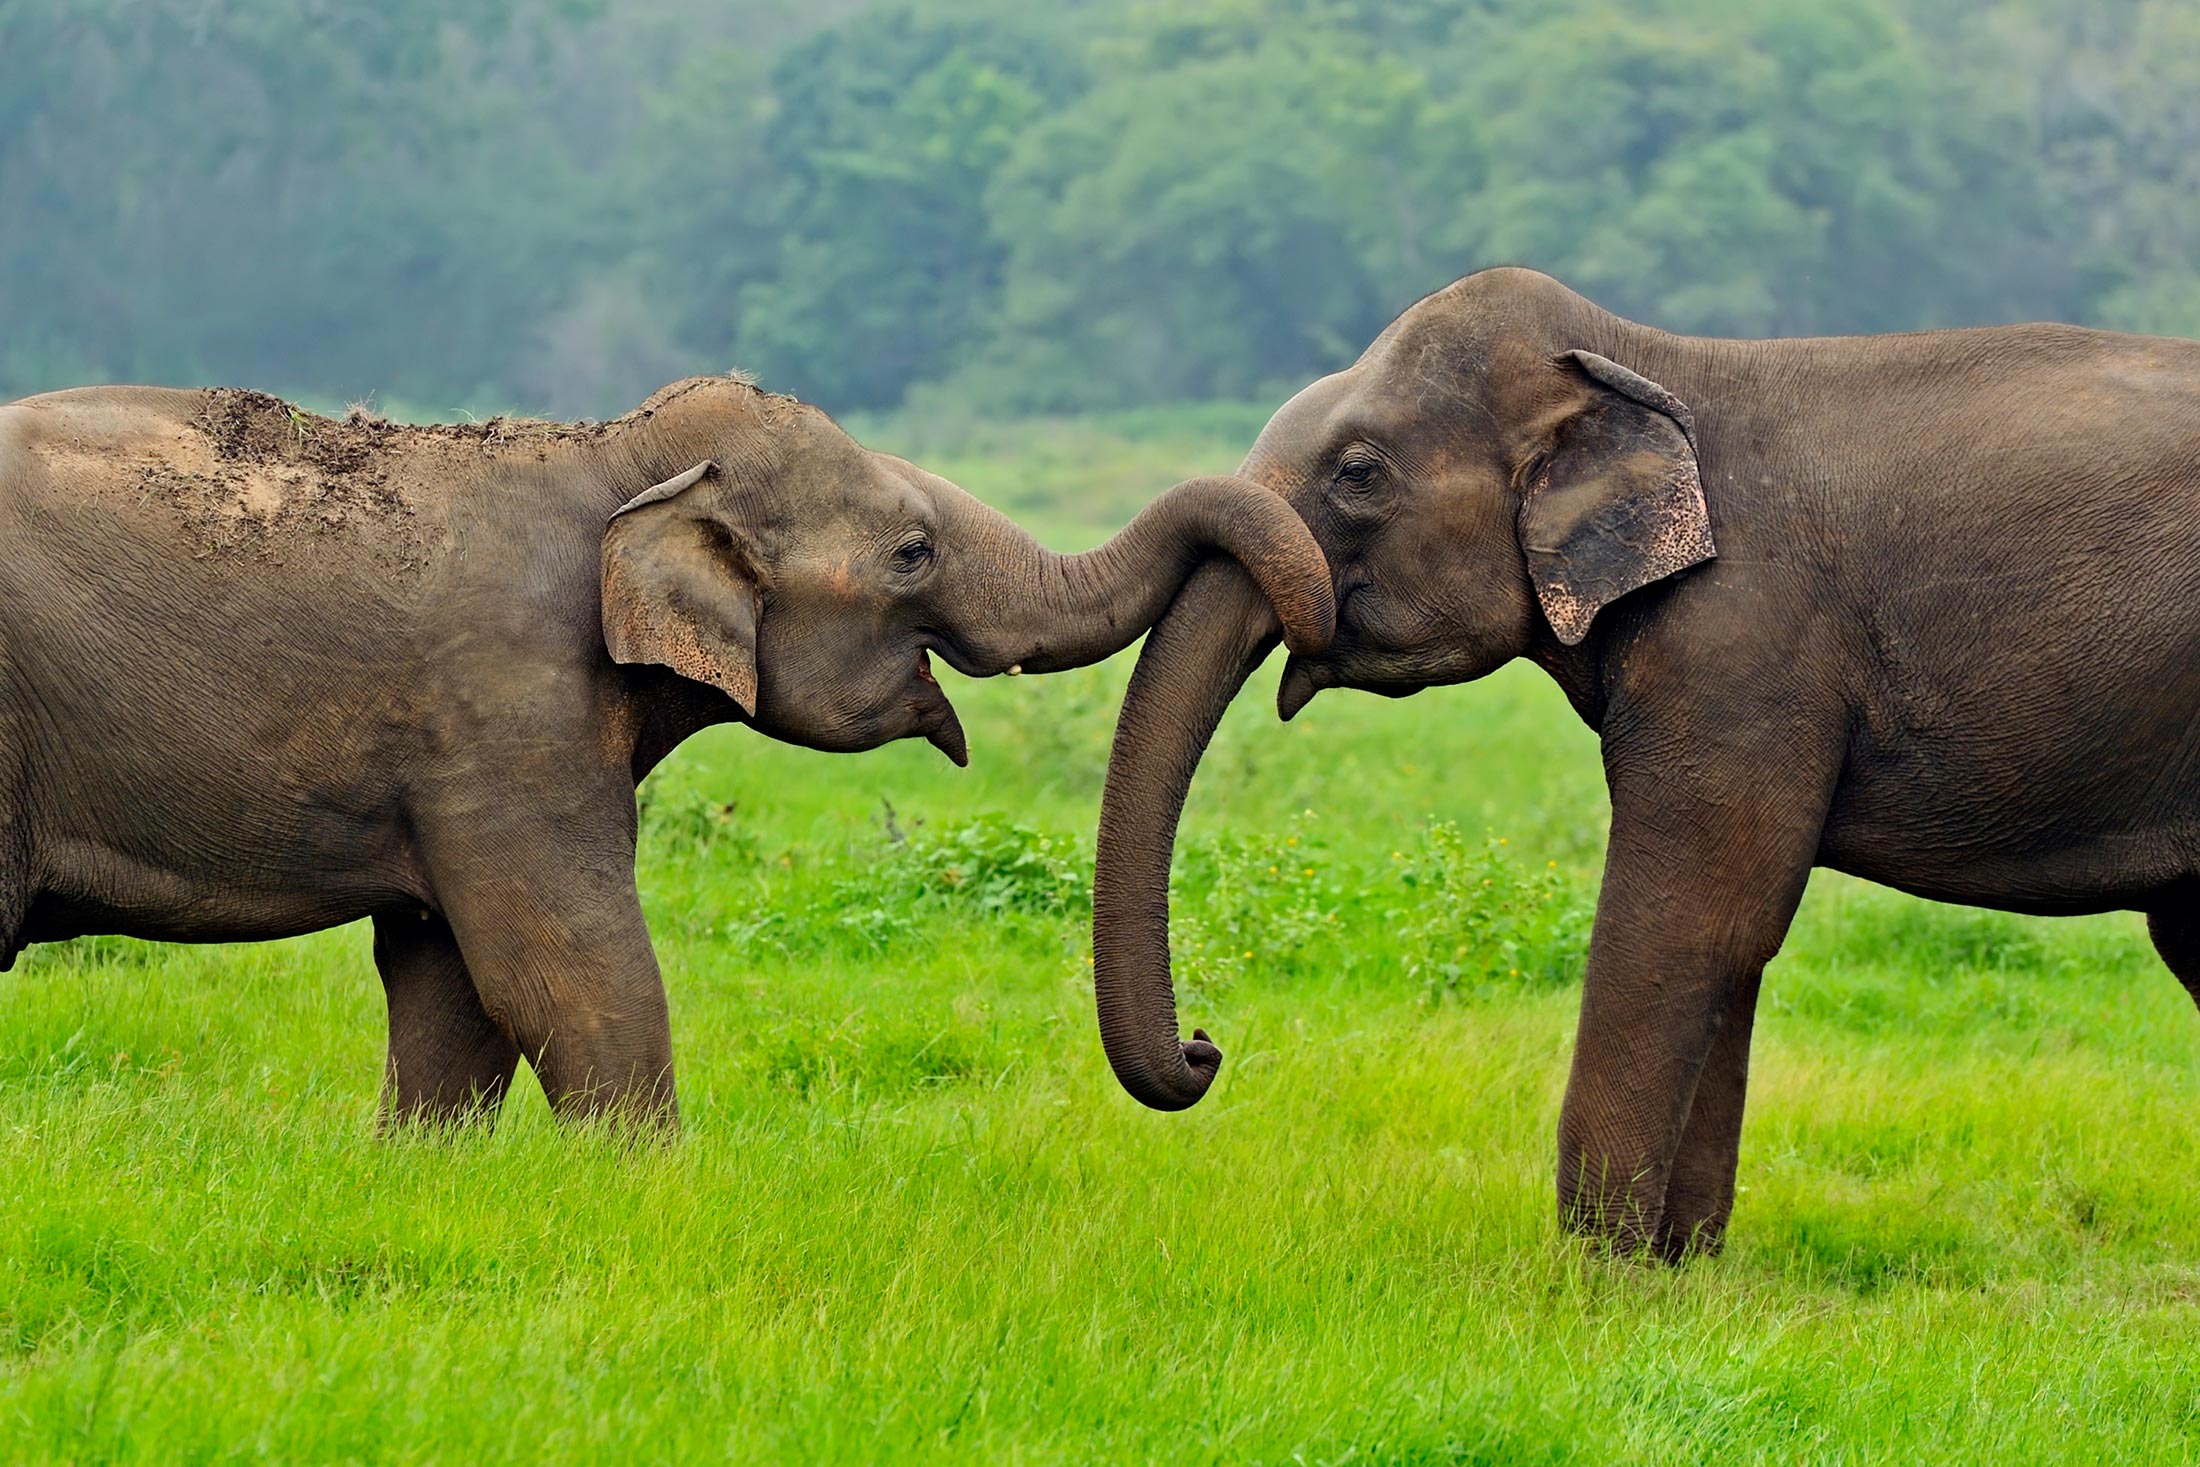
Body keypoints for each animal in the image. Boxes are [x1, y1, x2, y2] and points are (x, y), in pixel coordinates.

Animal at [0, 376, 1328, 1126]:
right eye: (910, 554)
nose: (1208, 1045)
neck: (617, 454)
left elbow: (449, 985)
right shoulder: (504, 707)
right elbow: (565, 973)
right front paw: (650, 1193)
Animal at [1086, 263, 2200, 1266]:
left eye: (1358, 474)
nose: (1206, 1047)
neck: (1644, 361)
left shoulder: (1745, 645)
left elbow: (1692, 920)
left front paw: (1594, 1284)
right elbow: (1729, 946)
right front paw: (1680, 1275)